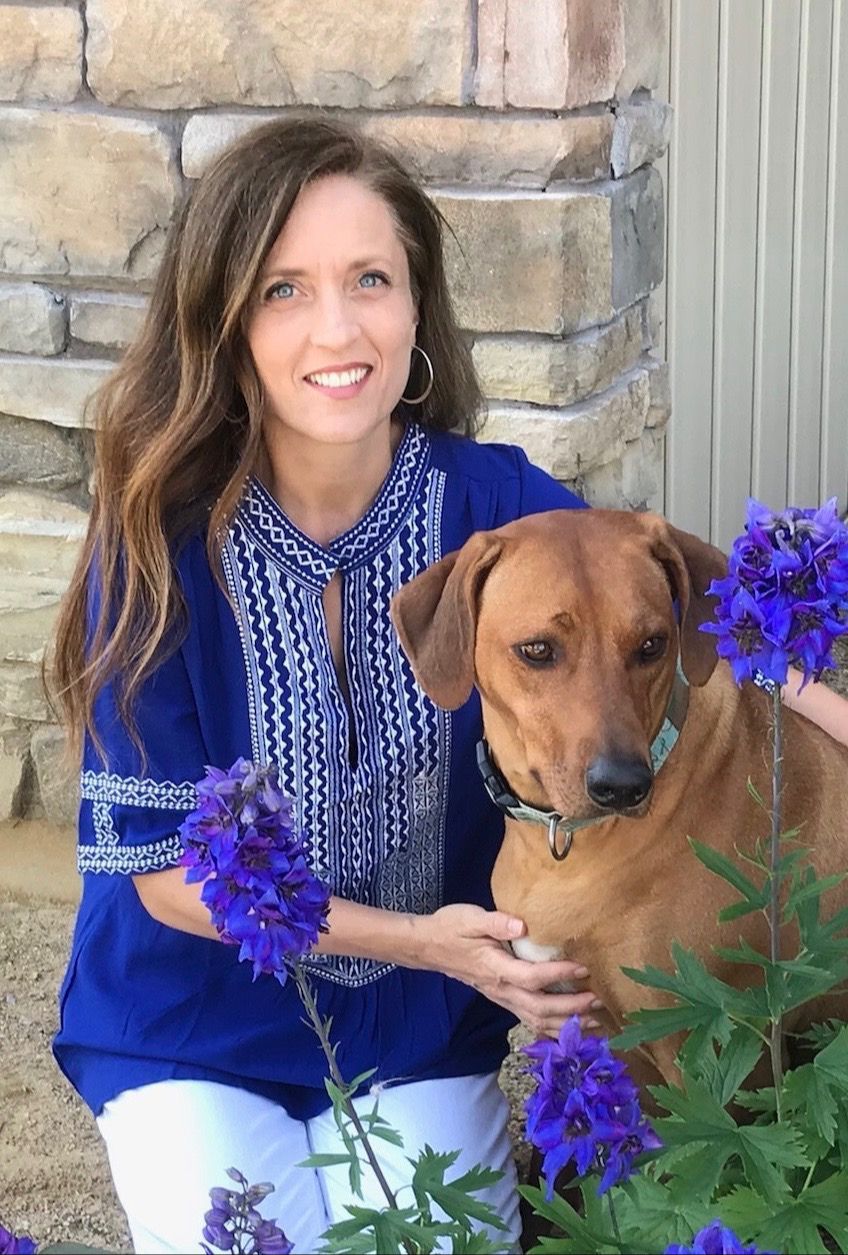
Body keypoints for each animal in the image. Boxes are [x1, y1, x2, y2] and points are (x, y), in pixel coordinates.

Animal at [391, 508, 848, 1089]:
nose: (624, 786)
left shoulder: (708, 1047)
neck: (561, 846)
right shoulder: (577, 1025)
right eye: (537, 650)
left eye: (652, 644)